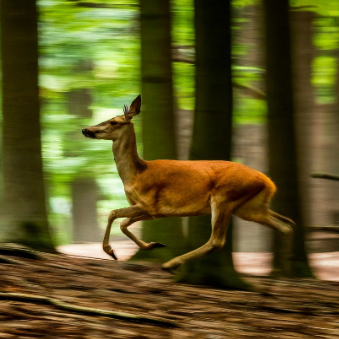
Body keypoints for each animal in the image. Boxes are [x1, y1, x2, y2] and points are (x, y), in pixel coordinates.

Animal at [82, 95, 294, 274]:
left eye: (113, 122)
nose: (86, 129)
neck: (136, 174)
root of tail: (269, 183)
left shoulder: (149, 203)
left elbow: (113, 214)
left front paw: (110, 251)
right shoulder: (154, 211)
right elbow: (124, 223)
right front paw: (153, 244)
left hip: (224, 198)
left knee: (216, 241)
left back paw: (171, 264)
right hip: (249, 208)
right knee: (287, 224)